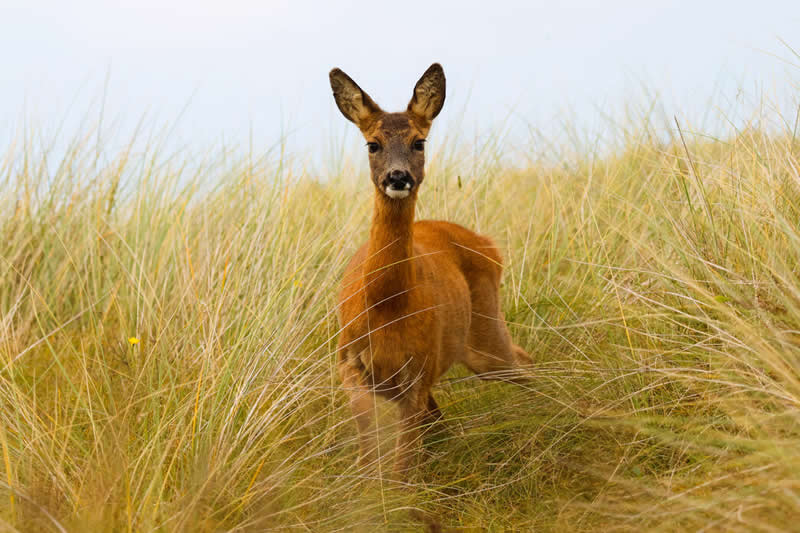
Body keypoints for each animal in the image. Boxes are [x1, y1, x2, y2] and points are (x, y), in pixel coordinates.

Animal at [331, 63, 532, 477]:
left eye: (419, 141)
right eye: (372, 144)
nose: (397, 177)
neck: (386, 306)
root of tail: (488, 244)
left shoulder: (418, 372)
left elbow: (401, 470)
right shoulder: (349, 363)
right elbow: (369, 450)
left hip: (485, 334)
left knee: (525, 363)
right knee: (444, 423)